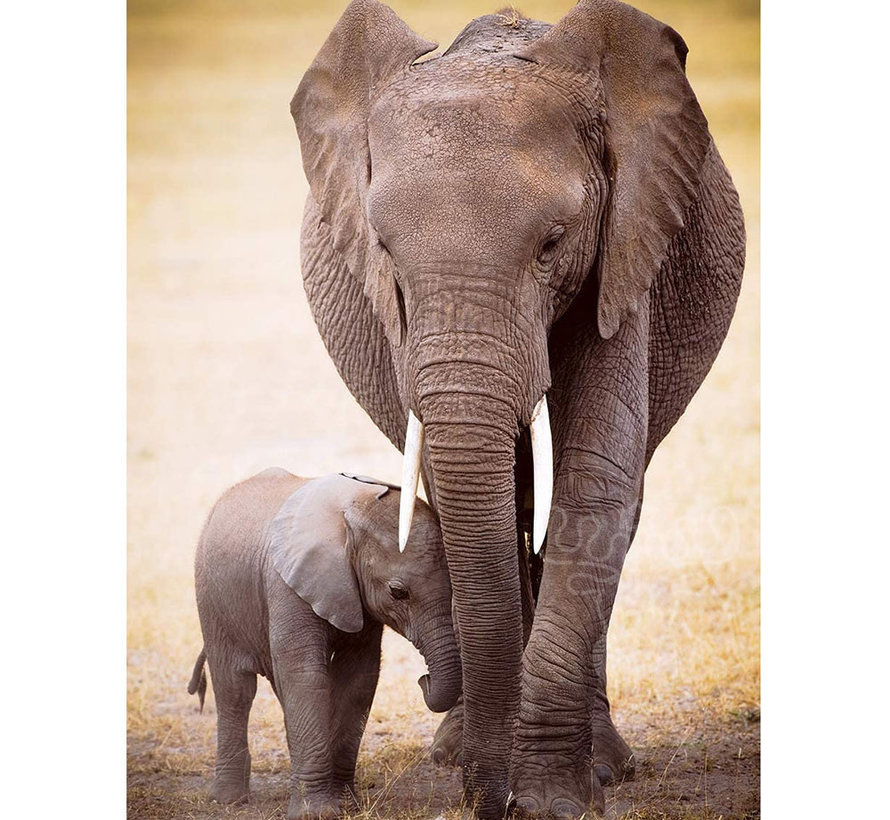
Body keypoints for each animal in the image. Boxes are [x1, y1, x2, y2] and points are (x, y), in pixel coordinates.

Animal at [190, 469, 461, 819]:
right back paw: (229, 800)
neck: (352, 513)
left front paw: (346, 804)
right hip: (212, 599)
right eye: (398, 592)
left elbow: (358, 678)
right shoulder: (286, 585)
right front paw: (316, 813)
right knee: (235, 689)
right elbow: (306, 676)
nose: (423, 679)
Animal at [290, 1, 745, 817]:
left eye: (554, 243)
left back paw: (605, 765)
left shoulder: (627, 246)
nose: (487, 799)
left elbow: (596, 478)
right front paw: (493, 774)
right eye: (384, 249)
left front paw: (551, 800)